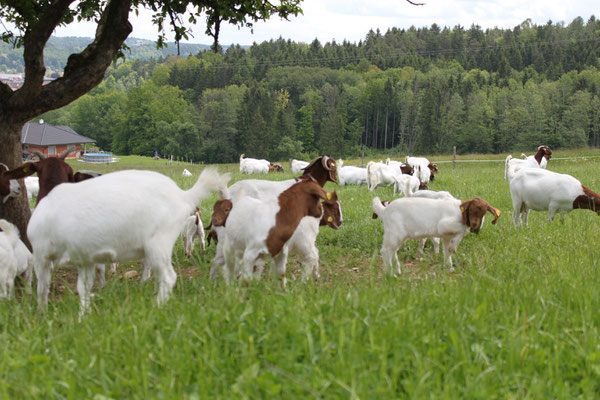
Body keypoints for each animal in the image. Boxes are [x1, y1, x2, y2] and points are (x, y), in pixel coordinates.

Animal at [25, 166, 229, 316]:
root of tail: (182, 196)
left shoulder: (41, 254)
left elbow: (42, 288)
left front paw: (42, 315)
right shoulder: (85, 260)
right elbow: (83, 289)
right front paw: (83, 317)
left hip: (159, 242)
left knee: (169, 277)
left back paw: (157, 308)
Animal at [372, 196, 500, 276]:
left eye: (484, 213)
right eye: (473, 210)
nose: (475, 228)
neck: (459, 212)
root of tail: (384, 211)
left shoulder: (446, 236)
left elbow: (447, 252)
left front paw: (450, 268)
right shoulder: (443, 225)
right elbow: (462, 231)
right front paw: (454, 247)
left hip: (398, 236)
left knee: (392, 251)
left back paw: (397, 271)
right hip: (394, 233)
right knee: (385, 250)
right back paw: (390, 274)